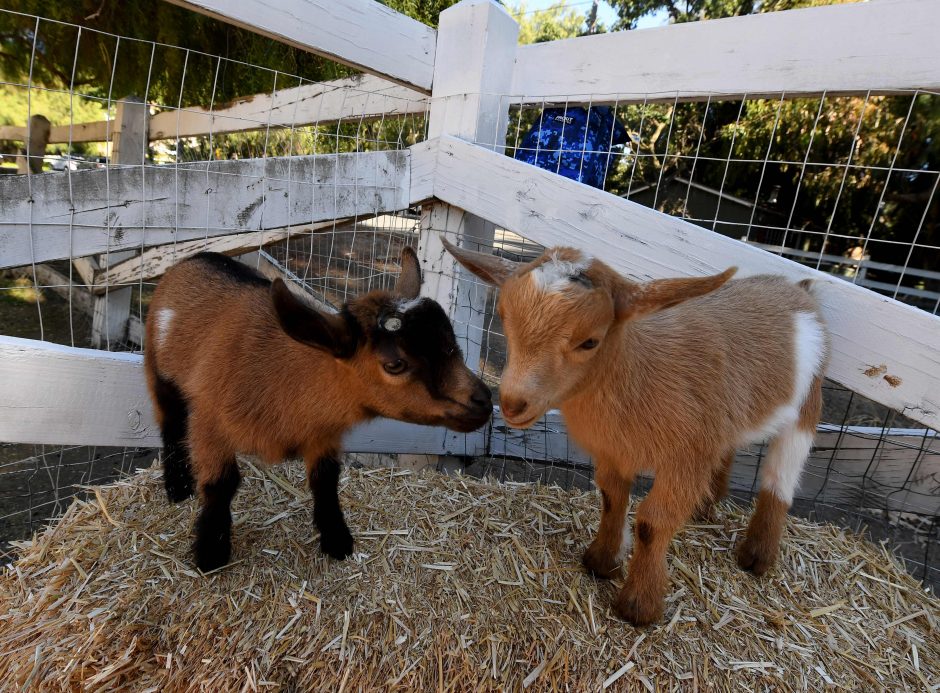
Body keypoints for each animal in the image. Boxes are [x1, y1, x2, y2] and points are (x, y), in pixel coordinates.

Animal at [146, 247, 492, 568]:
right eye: (395, 364)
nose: (484, 401)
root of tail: (198, 256)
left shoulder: (322, 433)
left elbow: (326, 480)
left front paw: (337, 540)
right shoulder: (210, 424)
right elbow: (221, 484)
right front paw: (211, 553)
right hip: (158, 373)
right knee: (170, 423)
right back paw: (177, 487)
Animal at [444, 241, 828, 624]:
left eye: (590, 341)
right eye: (504, 317)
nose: (512, 403)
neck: (639, 373)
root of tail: (797, 287)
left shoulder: (686, 458)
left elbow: (652, 524)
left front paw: (639, 605)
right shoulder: (614, 452)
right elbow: (612, 500)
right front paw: (601, 561)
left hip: (808, 403)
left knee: (782, 474)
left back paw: (757, 556)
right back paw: (706, 508)